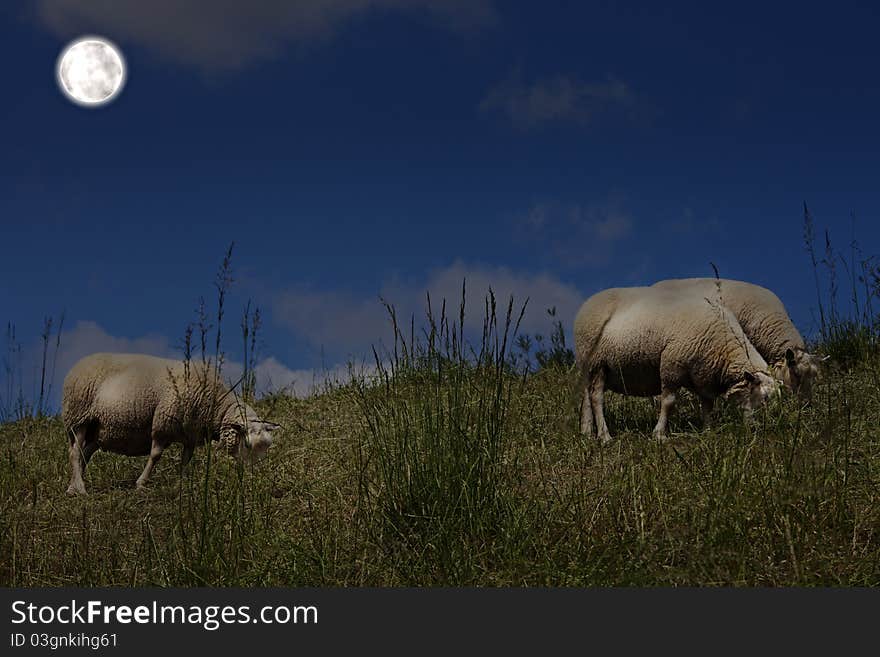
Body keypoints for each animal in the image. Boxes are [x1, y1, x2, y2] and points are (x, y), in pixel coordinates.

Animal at [62, 354, 280, 492]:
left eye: (266, 448)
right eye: (248, 445)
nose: (254, 476)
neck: (215, 404)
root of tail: (78, 364)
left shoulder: (191, 435)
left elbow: (185, 460)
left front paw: (181, 484)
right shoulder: (163, 424)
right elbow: (155, 455)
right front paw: (141, 483)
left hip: (98, 428)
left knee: (84, 454)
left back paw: (72, 486)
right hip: (79, 416)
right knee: (75, 452)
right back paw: (80, 488)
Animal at [576, 286, 780, 444]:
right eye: (764, 398)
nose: (757, 429)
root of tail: (587, 304)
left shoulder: (704, 376)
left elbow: (707, 406)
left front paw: (708, 431)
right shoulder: (672, 366)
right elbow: (669, 402)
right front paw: (659, 434)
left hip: (591, 368)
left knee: (586, 396)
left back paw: (586, 432)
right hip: (597, 362)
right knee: (596, 398)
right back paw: (605, 436)